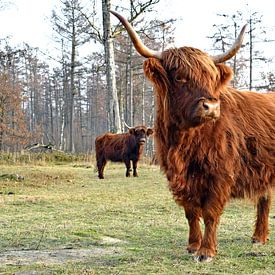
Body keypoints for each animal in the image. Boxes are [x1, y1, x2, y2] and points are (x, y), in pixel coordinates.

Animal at [111, 11, 275, 264]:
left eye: (212, 77)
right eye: (180, 77)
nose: (211, 107)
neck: (184, 143)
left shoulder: (219, 175)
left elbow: (209, 213)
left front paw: (206, 251)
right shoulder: (178, 176)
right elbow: (190, 212)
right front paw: (192, 245)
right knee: (265, 198)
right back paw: (259, 237)